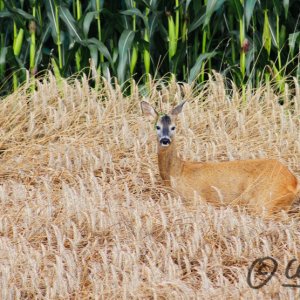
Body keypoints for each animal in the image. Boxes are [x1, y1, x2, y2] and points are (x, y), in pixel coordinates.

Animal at [141, 101, 300, 216]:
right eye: (157, 126)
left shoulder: (195, 198)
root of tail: (293, 182)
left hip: (262, 199)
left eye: (173, 127)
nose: (165, 140)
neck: (177, 172)